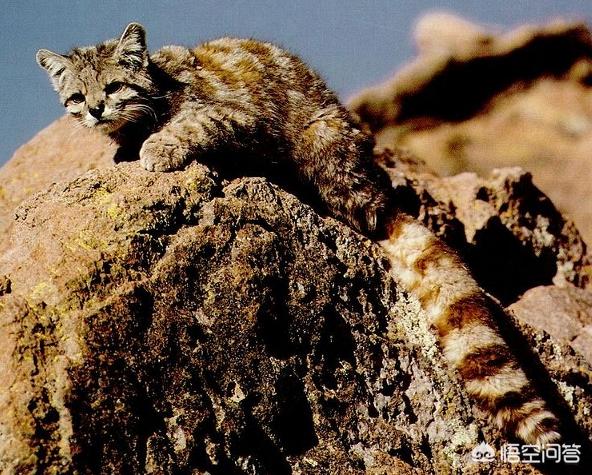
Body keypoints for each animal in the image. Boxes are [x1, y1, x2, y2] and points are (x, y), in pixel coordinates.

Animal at [35, 21, 560, 446]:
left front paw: (156, 148)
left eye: (114, 85)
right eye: (78, 96)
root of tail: (379, 196)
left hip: (322, 149)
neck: (158, 87)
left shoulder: (234, 114)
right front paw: (124, 146)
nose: (96, 110)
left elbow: (189, 126)